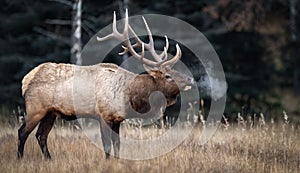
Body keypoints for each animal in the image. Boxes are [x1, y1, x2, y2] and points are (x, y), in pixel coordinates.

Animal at [17, 10, 195, 159]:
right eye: (168, 75)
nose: (190, 79)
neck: (129, 97)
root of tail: (25, 80)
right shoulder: (103, 115)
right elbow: (107, 145)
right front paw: (108, 161)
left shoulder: (117, 119)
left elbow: (117, 144)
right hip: (35, 108)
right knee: (22, 132)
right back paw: (20, 159)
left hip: (50, 112)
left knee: (41, 135)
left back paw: (49, 159)